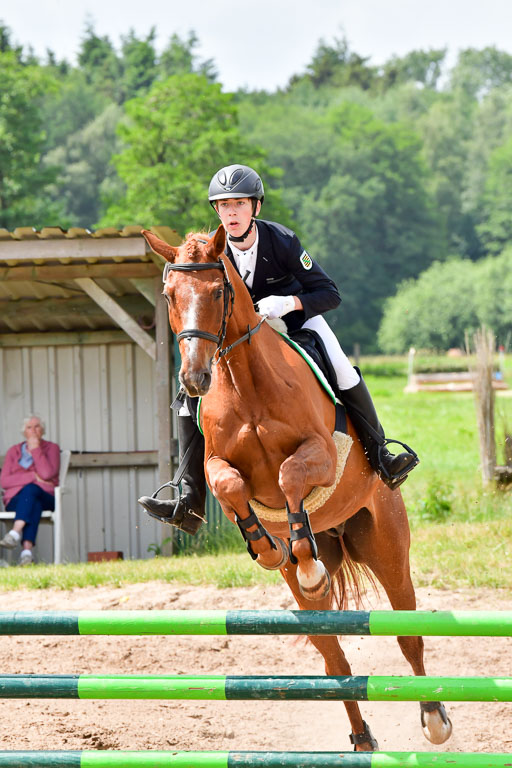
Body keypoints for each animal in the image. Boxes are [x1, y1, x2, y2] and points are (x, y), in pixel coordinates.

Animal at [142, 224, 453, 752]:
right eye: (170, 295)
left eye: (219, 291)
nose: (195, 378)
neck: (246, 384)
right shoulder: (215, 466)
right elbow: (230, 485)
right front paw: (268, 546)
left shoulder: (322, 454)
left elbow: (289, 474)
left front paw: (296, 553)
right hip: (319, 589)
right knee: (334, 659)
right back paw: (361, 736)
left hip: (387, 545)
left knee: (407, 633)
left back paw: (433, 717)